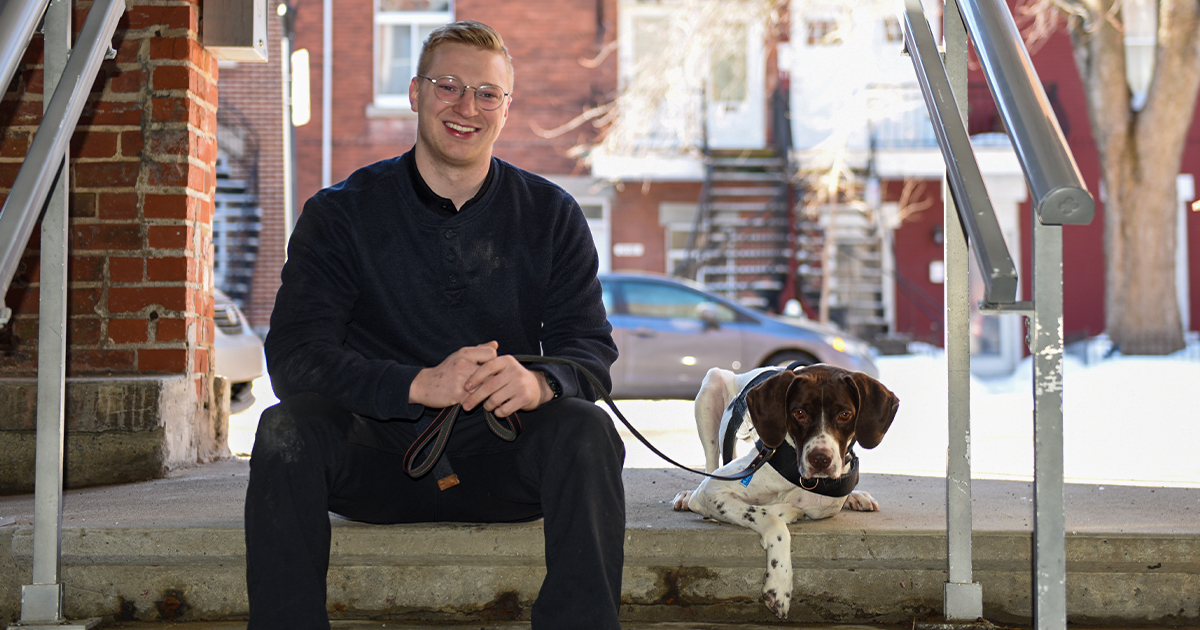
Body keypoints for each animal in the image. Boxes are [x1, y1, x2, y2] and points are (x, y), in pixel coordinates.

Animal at [672, 360, 897, 614]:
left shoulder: (827, 503)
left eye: (845, 414)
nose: (820, 459)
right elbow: (772, 521)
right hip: (710, 389)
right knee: (710, 461)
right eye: (799, 413)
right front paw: (779, 584)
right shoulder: (711, 490)